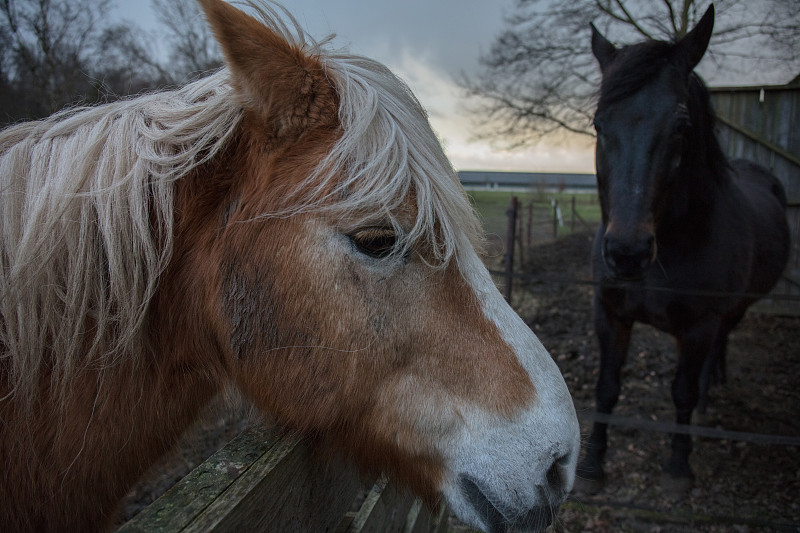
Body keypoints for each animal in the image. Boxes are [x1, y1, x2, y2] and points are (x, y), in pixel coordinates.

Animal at [580, 4, 792, 492]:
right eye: (600, 124)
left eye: (680, 126)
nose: (627, 253)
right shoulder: (610, 313)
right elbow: (606, 387)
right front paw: (593, 465)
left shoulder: (698, 326)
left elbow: (681, 391)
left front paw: (678, 467)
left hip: (734, 309)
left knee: (719, 347)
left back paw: (710, 396)